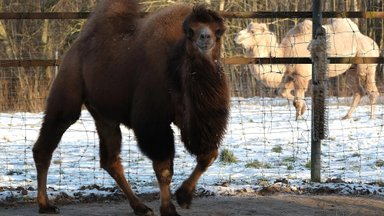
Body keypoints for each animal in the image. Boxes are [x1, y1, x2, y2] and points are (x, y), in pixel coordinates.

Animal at [236, 18, 380, 120]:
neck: (286, 53)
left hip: (366, 63)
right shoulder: (290, 75)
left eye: (252, 32)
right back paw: (346, 116)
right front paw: (303, 110)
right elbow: (282, 92)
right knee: (358, 91)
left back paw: (371, 118)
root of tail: (372, 42)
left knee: (371, 90)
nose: (236, 37)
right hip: (350, 70)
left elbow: (296, 101)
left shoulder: (302, 76)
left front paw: (299, 117)